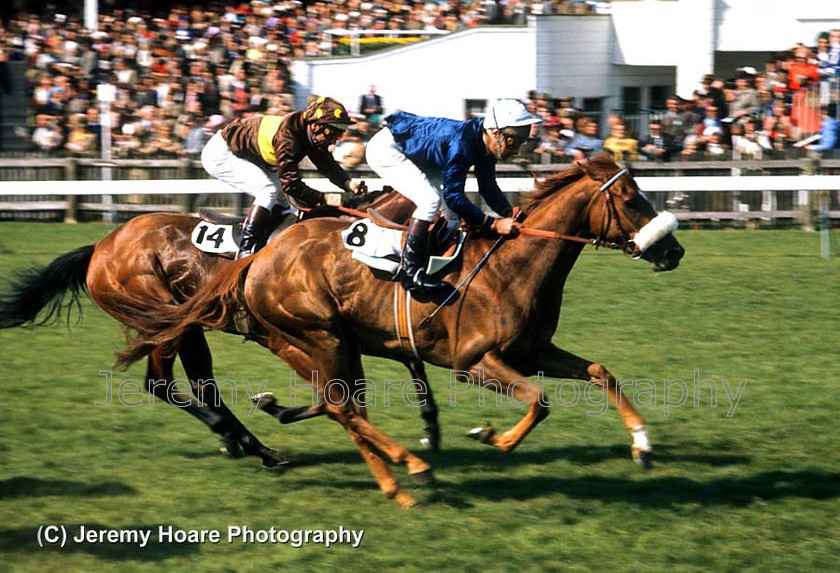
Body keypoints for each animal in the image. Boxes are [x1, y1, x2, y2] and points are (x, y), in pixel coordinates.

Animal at [0, 190, 442, 466]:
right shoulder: (291, 338)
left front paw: (431, 430)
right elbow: (338, 394)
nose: (422, 277)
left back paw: (248, 444)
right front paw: (278, 408)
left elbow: (408, 363)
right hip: (164, 319)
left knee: (200, 384)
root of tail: (99, 248)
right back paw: (243, 440)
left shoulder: (361, 331)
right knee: (162, 383)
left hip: (188, 327)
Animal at [120, 155, 684, 504]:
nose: (673, 250)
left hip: (335, 342)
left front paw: (642, 445)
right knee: (339, 406)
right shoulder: (473, 363)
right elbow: (539, 402)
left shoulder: (532, 352)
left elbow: (600, 372)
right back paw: (405, 469)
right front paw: (491, 436)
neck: (511, 268)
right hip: (317, 334)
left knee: (341, 405)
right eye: (631, 199)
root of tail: (256, 259)